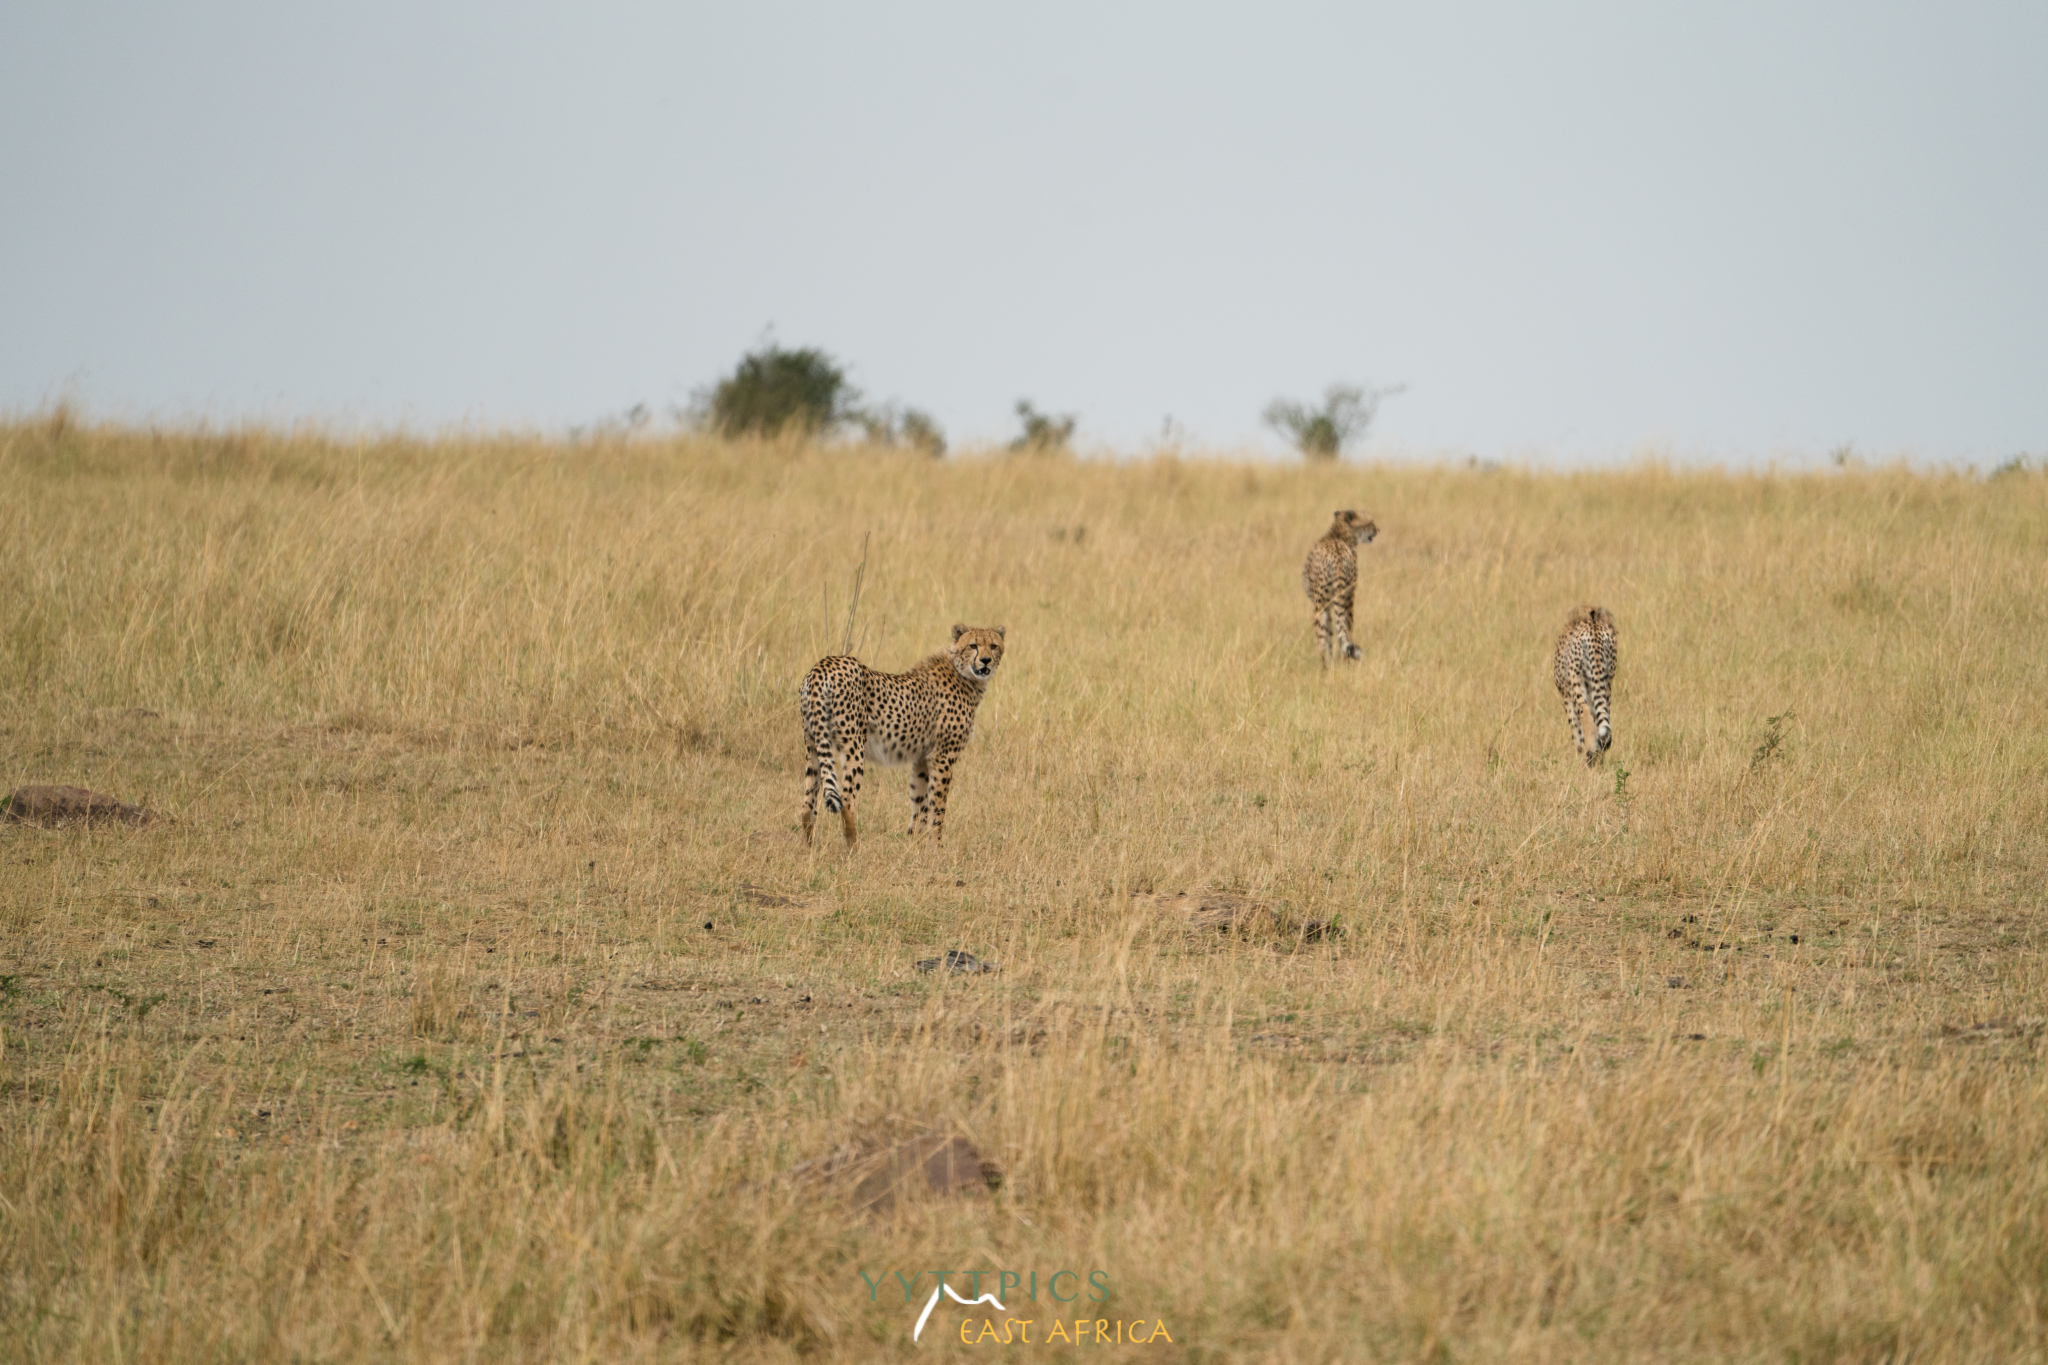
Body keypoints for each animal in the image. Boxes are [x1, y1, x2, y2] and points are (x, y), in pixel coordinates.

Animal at [794, 626, 1003, 843]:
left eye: (993, 646)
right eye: (973, 645)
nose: (986, 660)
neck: (964, 674)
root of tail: (822, 666)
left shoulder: (922, 758)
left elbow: (919, 801)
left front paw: (915, 842)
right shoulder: (943, 757)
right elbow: (938, 806)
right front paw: (935, 844)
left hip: (813, 744)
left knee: (807, 805)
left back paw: (810, 848)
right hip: (854, 746)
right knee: (847, 801)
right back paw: (855, 848)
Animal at [1302, 509, 1384, 663]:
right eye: (1370, 522)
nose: (1378, 529)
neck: (1338, 534)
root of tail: (1337, 557)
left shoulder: (1328, 606)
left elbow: (1329, 636)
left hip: (1324, 605)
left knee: (1324, 640)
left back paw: (1325, 664)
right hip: (1345, 599)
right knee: (1345, 631)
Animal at [1548, 609, 1613, 769]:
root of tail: (1593, 626)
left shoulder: (1566, 696)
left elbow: (1576, 730)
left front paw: (1582, 756)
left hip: (1577, 681)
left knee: (1584, 712)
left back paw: (1590, 752)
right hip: (1606, 683)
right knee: (1603, 719)